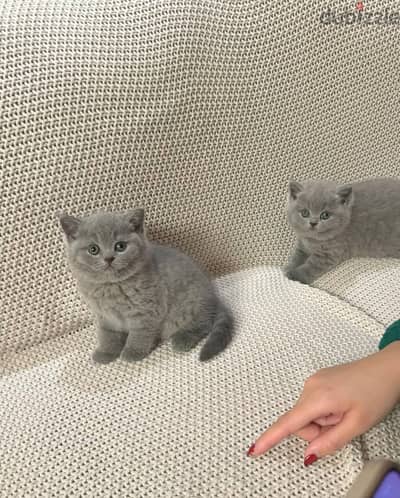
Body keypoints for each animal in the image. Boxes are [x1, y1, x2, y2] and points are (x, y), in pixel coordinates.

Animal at [57, 208, 233, 364]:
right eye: (93, 249)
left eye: (120, 246)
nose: (109, 258)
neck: (111, 287)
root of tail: (213, 297)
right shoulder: (104, 315)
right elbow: (108, 335)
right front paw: (105, 353)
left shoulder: (146, 311)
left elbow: (139, 334)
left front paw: (132, 352)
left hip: (189, 304)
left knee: (203, 324)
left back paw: (181, 340)